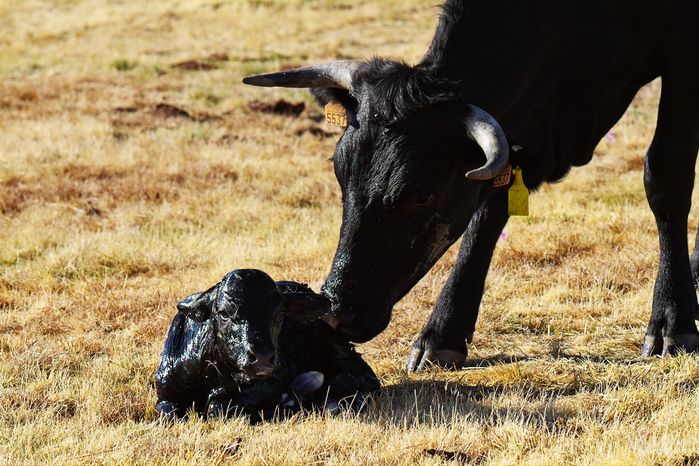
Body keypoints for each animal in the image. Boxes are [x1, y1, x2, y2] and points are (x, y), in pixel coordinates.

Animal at [156, 268, 380, 420]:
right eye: (224, 314)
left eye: (280, 314)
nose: (262, 358)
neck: (214, 374)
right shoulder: (165, 393)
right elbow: (169, 413)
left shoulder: (273, 380)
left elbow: (217, 407)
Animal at [245, 0, 699, 372]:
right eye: (341, 176)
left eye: (422, 194)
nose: (337, 310)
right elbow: (490, 208)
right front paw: (442, 333)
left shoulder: (683, 55)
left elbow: (665, 175)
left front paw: (673, 321)